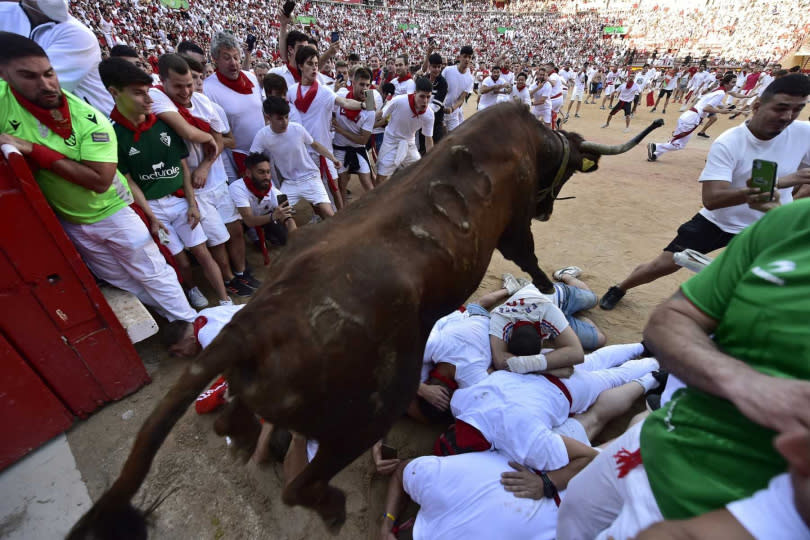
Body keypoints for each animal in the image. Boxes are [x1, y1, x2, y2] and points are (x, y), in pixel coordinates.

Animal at [69, 102, 660, 540]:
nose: (548, 208)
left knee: (232, 421)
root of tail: (251, 328)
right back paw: (331, 507)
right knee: (301, 484)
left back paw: (244, 436)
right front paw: (543, 288)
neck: (527, 141)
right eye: (564, 172)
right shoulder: (513, 228)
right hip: (368, 413)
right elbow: (529, 258)